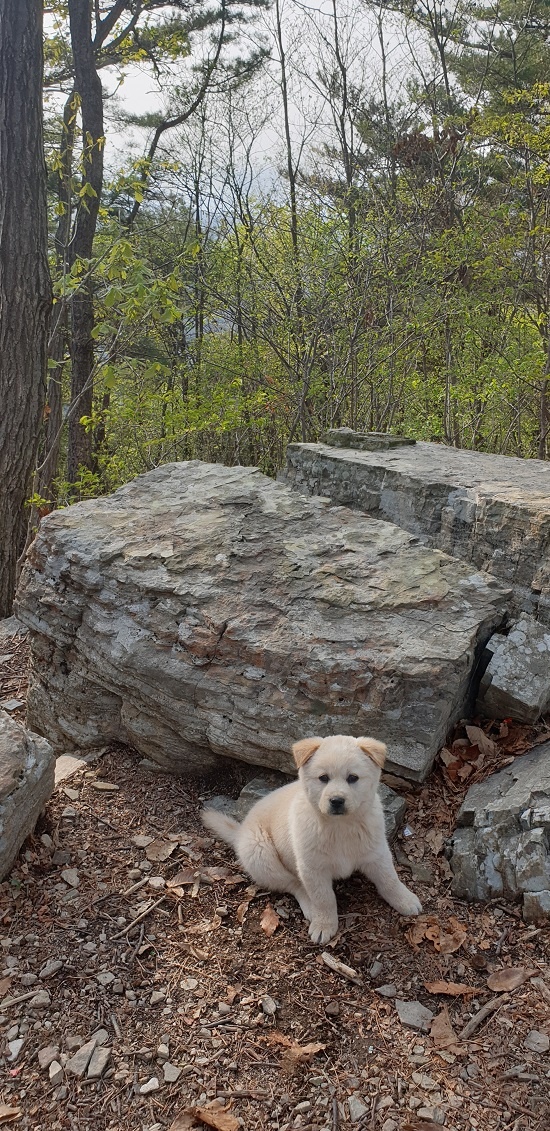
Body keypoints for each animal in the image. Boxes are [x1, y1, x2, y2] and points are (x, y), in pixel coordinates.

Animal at [201, 732, 420, 945]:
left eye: (353, 778)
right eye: (323, 778)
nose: (337, 801)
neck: (340, 826)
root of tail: (240, 832)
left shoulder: (376, 853)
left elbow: (390, 880)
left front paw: (405, 900)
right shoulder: (313, 867)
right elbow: (324, 898)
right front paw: (324, 924)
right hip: (261, 855)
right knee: (294, 884)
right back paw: (311, 908)